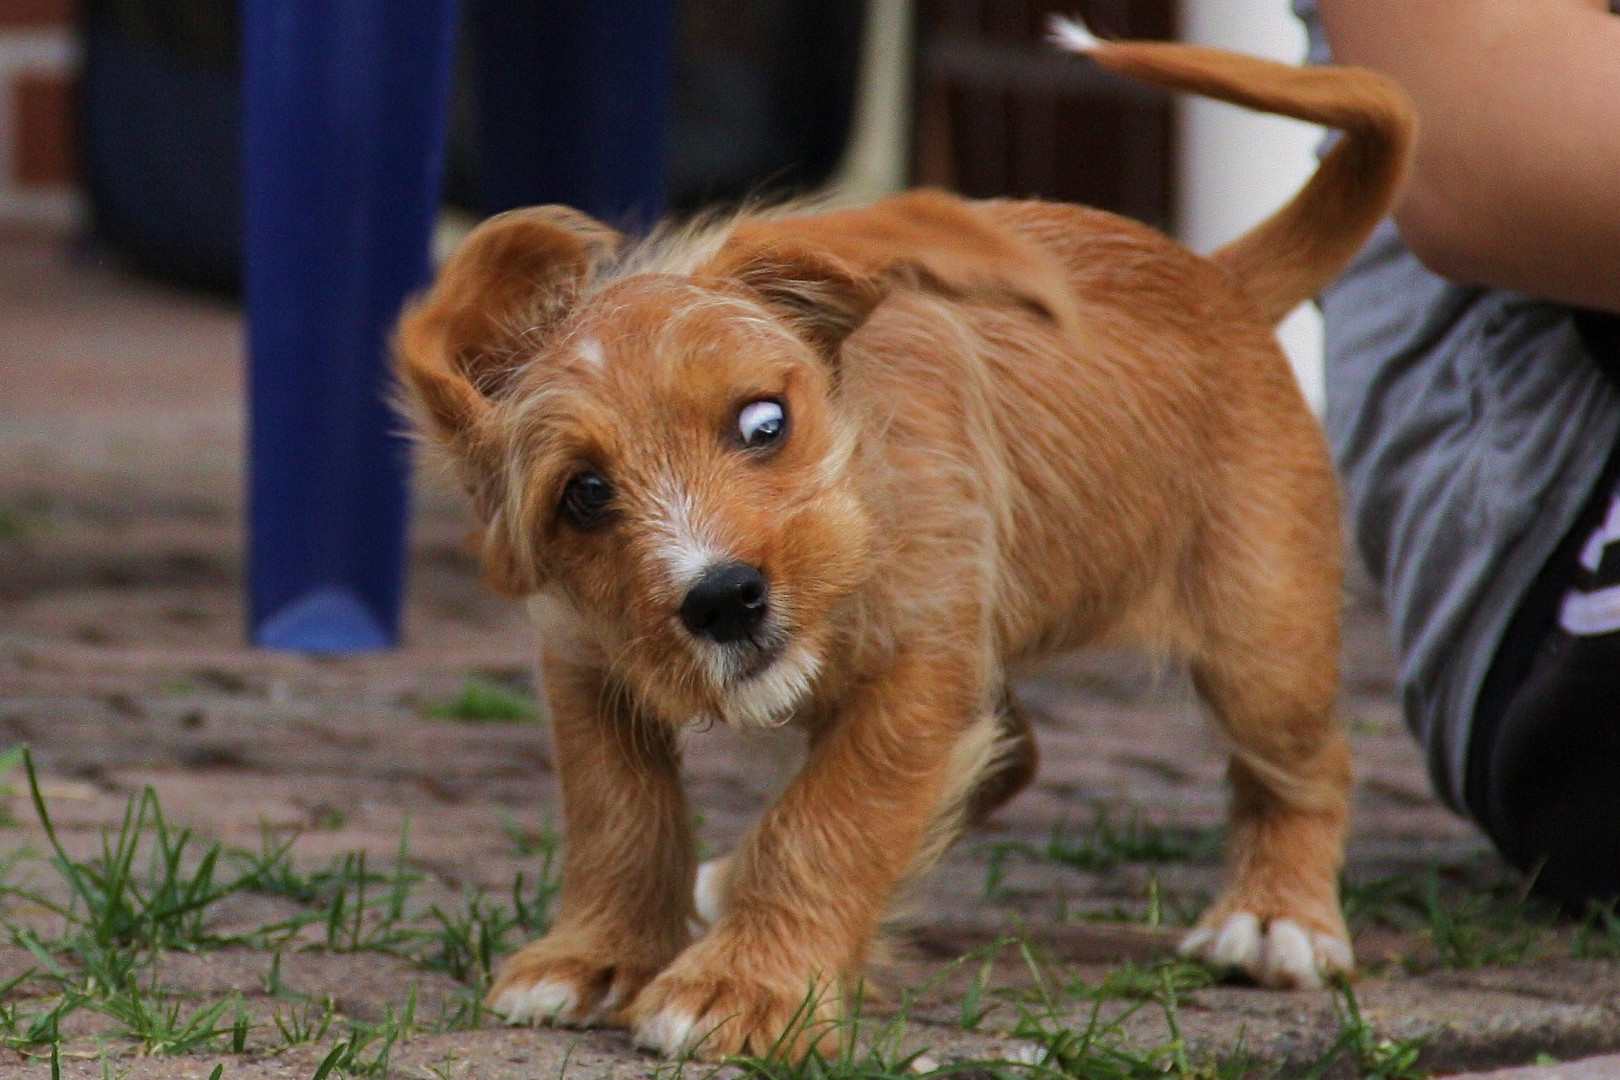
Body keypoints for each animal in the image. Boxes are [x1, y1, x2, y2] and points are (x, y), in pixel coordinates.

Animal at [392, 21, 1406, 1062]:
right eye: (585, 495)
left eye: (764, 422)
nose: (723, 598)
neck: (861, 493)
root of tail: (1220, 279)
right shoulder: (588, 662)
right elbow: (618, 815)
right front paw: (597, 954)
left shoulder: (917, 670)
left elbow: (828, 820)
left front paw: (745, 985)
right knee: (1015, 752)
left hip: (1262, 644)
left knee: (1306, 767)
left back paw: (1278, 918)